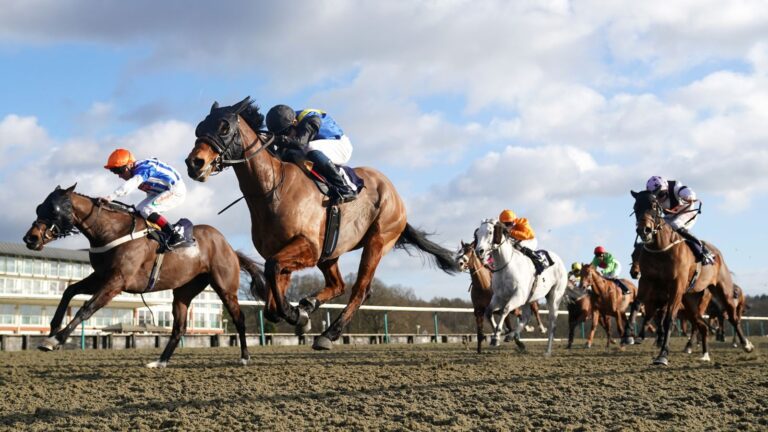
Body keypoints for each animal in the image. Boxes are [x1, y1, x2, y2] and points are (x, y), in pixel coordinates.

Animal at [21, 184, 268, 366]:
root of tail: (228, 246)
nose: (30, 238)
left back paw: (245, 357)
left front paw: (57, 339)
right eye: (38, 208)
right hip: (184, 291)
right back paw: (160, 362)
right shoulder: (101, 277)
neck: (111, 231)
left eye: (53, 210)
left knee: (239, 319)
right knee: (179, 327)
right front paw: (52, 329)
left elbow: (86, 308)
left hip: (225, 287)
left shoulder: (117, 281)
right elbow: (69, 291)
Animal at [187, 96, 460, 350]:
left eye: (224, 127)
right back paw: (310, 304)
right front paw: (300, 313)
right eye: (199, 128)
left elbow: (273, 273)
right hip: (331, 252)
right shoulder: (286, 253)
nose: (194, 163)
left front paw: (297, 315)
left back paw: (328, 334)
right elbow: (272, 304)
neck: (272, 189)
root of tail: (395, 195)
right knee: (337, 284)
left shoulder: (308, 247)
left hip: (378, 240)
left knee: (360, 289)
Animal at [632, 190, 752, 364]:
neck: (660, 248)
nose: (644, 230)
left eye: (654, 205)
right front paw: (630, 336)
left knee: (732, 318)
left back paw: (745, 344)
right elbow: (638, 305)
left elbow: (669, 319)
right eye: (635, 207)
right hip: (690, 300)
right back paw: (704, 353)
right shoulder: (647, 281)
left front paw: (663, 355)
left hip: (722, 289)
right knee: (701, 325)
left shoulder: (676, 286)